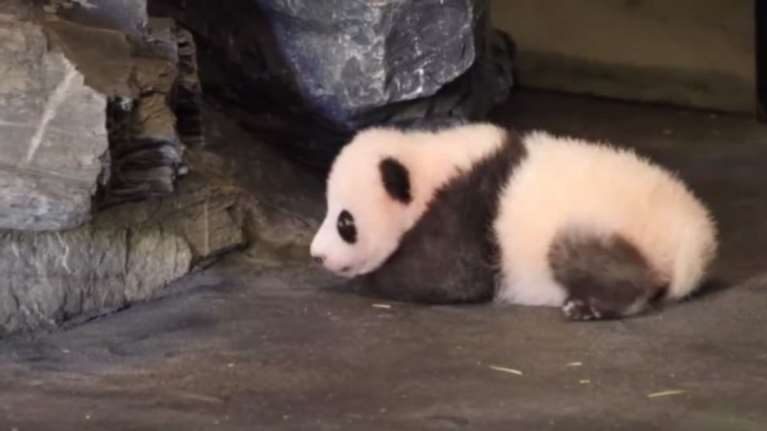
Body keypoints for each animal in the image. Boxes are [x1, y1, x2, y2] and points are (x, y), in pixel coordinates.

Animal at [309, 123, 718, 320]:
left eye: (345, 223)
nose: (317, 256)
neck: (431, 164)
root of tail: (691, 240)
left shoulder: (465, 211)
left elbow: (450, 277)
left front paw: (370, 280)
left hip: (609, 225)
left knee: (583, 255)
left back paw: (591, 306)